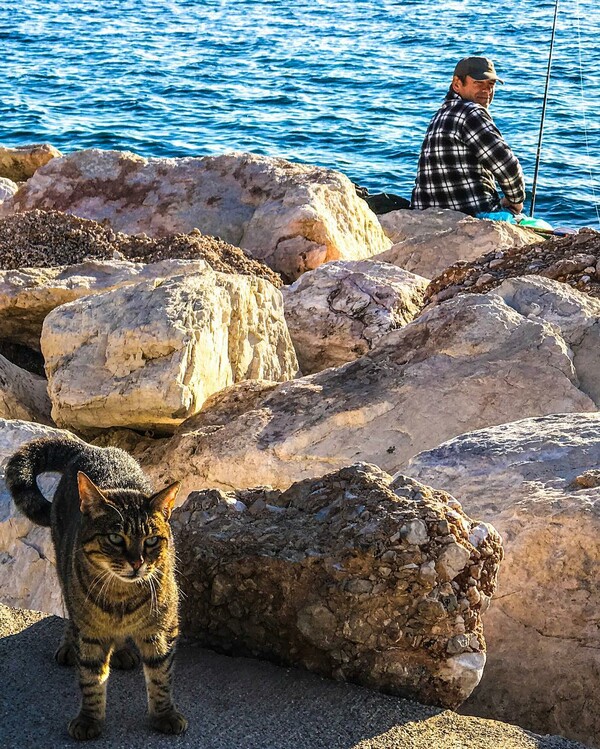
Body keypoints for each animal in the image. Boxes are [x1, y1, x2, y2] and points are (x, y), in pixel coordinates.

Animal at [4, 436, 188, 740]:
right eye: (115, 538)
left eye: (151, 540)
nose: (137, 563)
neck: (121, 596)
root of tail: (93, 449)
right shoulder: (89, 633)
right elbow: (92, 679)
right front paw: (89, 719)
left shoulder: (162, 628)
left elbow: (161, 674)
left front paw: (165, 714)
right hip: (63, 568)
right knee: (70, 612)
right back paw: (70, 645)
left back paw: (122, 650)